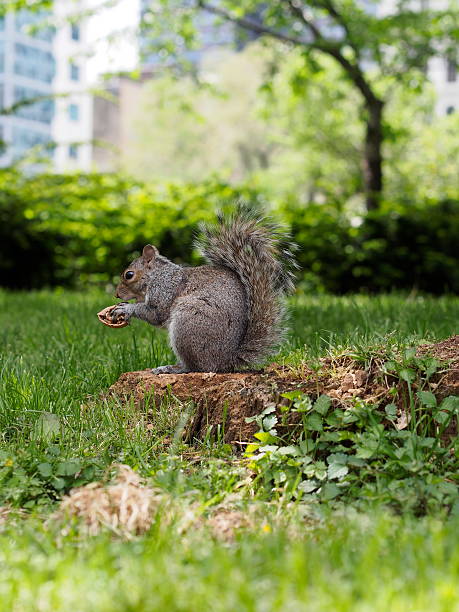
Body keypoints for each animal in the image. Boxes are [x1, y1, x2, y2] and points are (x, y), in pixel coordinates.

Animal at [111, 208, 298, 376]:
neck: (155, 276)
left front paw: (126, 309)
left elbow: (155, 314)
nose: (117, 295)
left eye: (129, 275)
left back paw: (171, 368)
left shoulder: (164, 290)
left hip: (188, 324)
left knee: (197, 367)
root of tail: (227, 360)